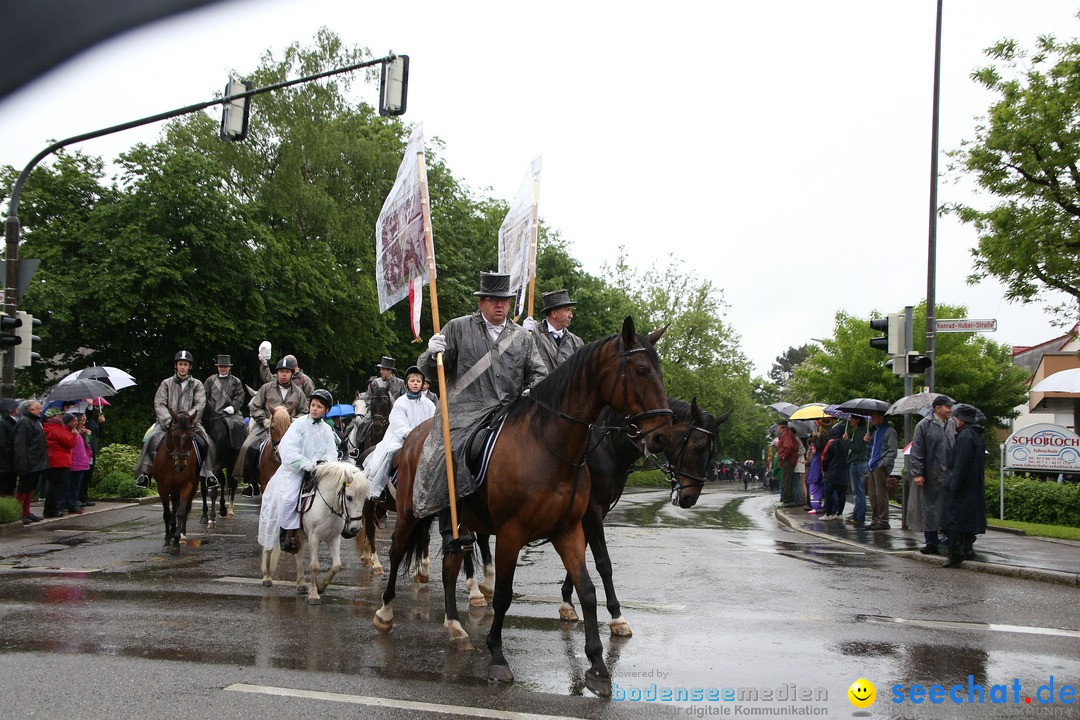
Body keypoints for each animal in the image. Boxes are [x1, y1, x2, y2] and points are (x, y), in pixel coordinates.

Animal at [152, 408, 200, 557]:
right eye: (174, 435)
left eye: (191, 437)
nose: (181, 465)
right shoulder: (161, 487)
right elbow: (167, 514)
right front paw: (168, 540)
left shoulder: (187, 485)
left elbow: (181, 512)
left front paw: (176, 542)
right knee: (173, 504)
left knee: (183, 507)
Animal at [260, 459, 367, 604]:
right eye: (349, 497)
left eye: (365, 498)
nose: (355, 529)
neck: (328, 507)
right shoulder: (314, 538)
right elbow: (314, 566)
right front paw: (314, 595)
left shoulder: (333, 538)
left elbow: (337, 565)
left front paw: (321, 586)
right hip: (272, 524)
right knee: (268, 547)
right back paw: (266, 577)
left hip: (300, 534)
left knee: (298, 556)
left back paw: (301, 584)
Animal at [375, 317, 669, 695]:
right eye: (642, 370)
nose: (660, 436)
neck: (552, 446)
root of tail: (412, 435)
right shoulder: (511, 533)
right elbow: (503, 594)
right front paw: (498, 657)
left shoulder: (569, 531)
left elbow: (588, 590)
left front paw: (597, 666)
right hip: (410, 514)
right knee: (397, 552)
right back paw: (385, 613)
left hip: (456, 524)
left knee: (450, 566)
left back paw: (455, 627)